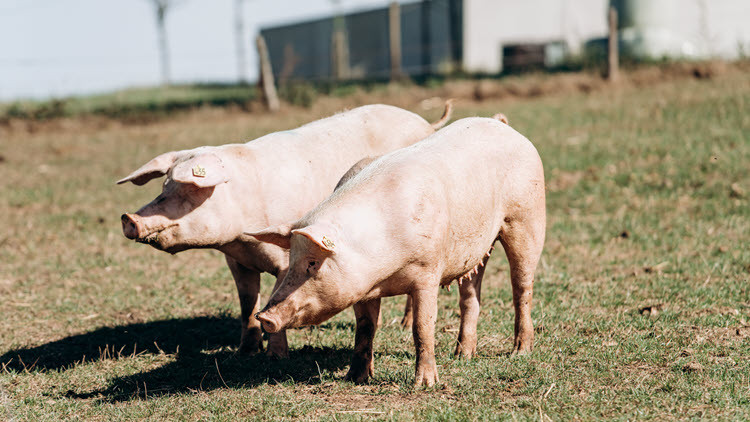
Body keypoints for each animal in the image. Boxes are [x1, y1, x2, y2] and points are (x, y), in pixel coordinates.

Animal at [118, 103, 453, 357]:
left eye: (188, 189)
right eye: (164, 186)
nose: (129, 218)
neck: (241, 236)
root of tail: (425, 121)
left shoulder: (284, 258)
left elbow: (274, 295)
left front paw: (276, 356)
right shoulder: (237, 262)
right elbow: (247, 304)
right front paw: (246, 351)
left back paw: (403, 323)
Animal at [247, 115, 545, 386]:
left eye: (312, 263)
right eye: (292, 259)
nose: (264, 316)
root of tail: (501, 124)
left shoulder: (428, 271)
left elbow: (422, 327)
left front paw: (424, 384)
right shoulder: (362, 287)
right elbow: (365, 327)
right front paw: (355, 378)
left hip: (526, 219)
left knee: (521, 287)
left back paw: (520, 351)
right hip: (475, 249)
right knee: (470, 295)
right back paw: (462, 355)